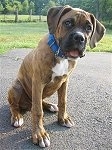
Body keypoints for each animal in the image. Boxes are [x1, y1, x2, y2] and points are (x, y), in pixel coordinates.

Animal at [7, 5, 105, 148]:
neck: (61, 54)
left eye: (88, 28)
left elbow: (63, 101)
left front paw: (63, 118)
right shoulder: (38, 82)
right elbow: (38, 111)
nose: (79, 37)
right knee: (16, 105)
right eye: (68, 23)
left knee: (39, 102)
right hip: (17, 87)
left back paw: (50, 106)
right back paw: (17, 117)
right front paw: (39, 134)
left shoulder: (64, 81)